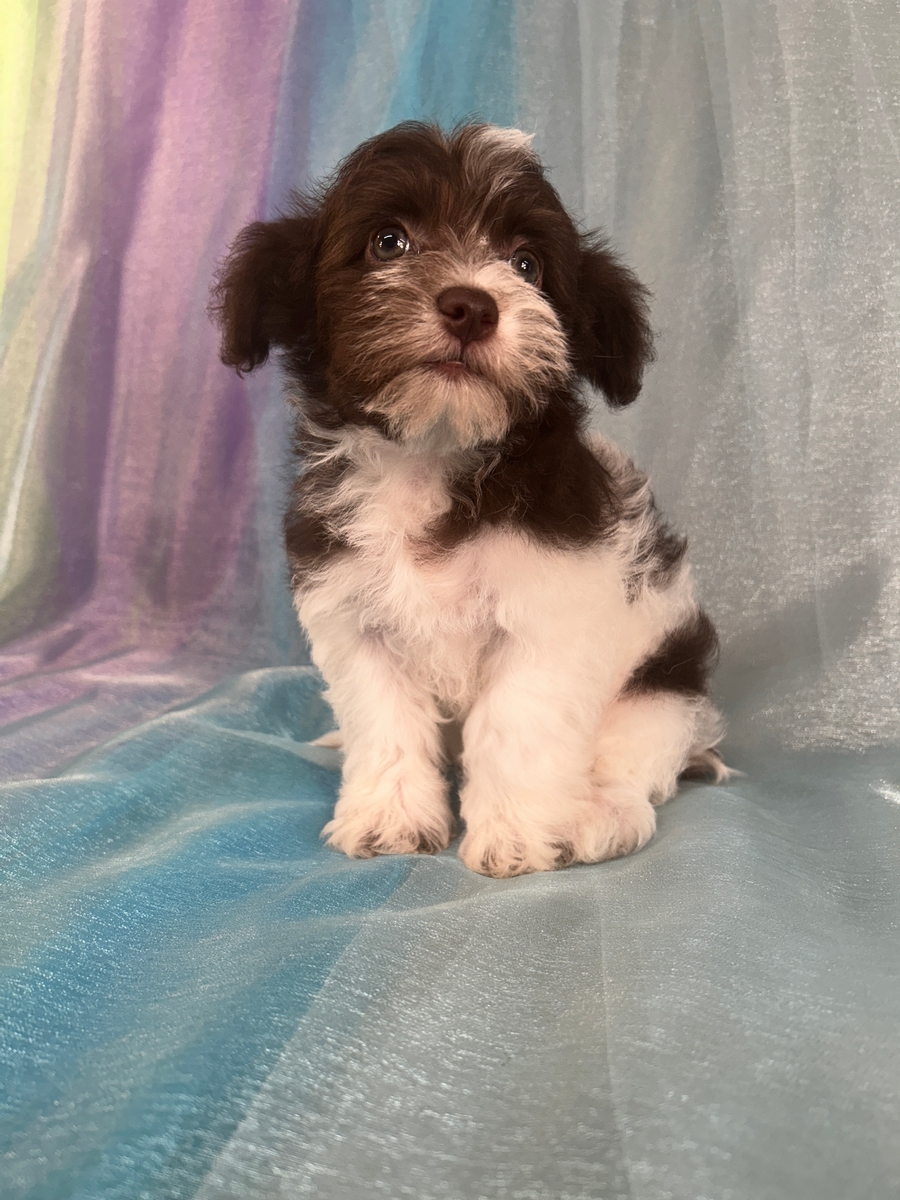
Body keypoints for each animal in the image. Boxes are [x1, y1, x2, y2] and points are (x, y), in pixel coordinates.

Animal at [211, 121, 724, 878]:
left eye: (526, 265)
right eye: (388, 241)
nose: (472, 305)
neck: (433, 454)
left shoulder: (548, 614)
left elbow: (515, 722)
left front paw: (515, 836)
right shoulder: (354, 617)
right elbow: (385, 720)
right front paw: (388, 817)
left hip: (663, 685)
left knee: (636, 758)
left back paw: (600, 814)